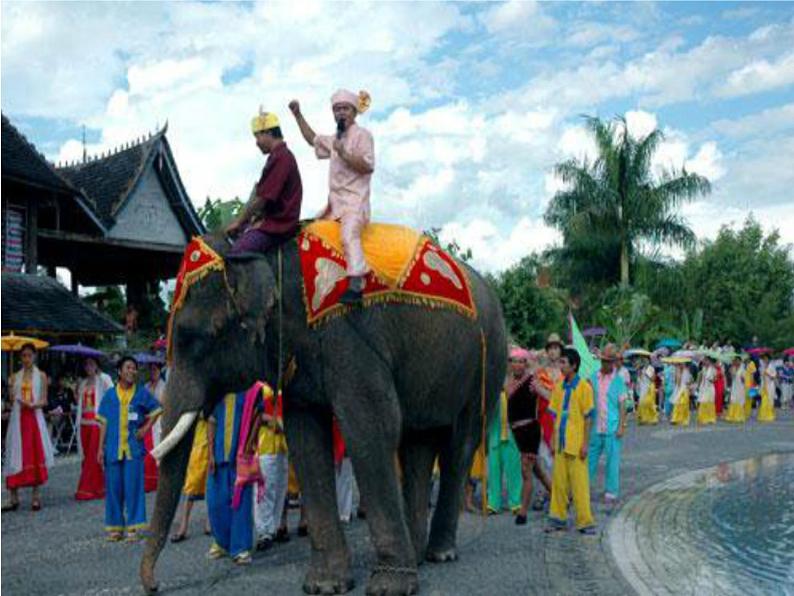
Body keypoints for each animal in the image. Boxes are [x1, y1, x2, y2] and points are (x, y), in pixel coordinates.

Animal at [139, 234, 504, 596]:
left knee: (460, 444)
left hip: (487, 363)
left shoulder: (351, 341)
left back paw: (439, 553)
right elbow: (306, 439)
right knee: (418, 443)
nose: (155, 585)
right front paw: (325, 585)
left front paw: (389, 587)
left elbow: (371, 428)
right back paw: (417, 555)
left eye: (196, 338)